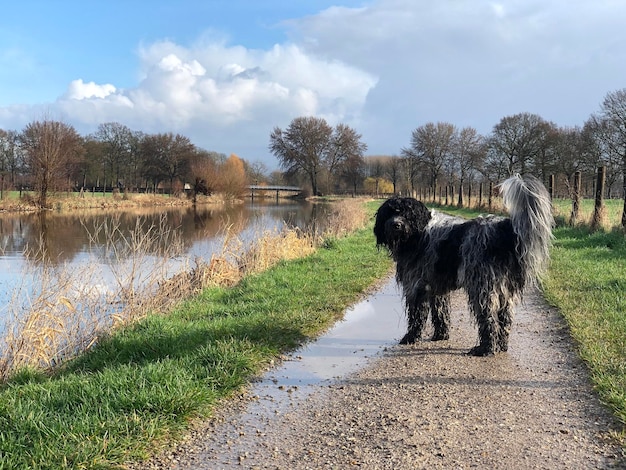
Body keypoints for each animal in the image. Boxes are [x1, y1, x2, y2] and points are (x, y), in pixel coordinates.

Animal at [370, 175, 552, 356]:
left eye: (407, 214)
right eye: (389, 213)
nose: (396, 225)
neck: (417, 234)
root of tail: (505, 228)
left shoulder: (417, 286)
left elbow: (416, 317)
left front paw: (410, 337)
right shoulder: (436, 287)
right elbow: (440, 313)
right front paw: (440, 336)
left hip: (482, 287)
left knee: (489, 319)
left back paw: (485, 348)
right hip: (504, 289)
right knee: (505, 317)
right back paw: (501, 346)